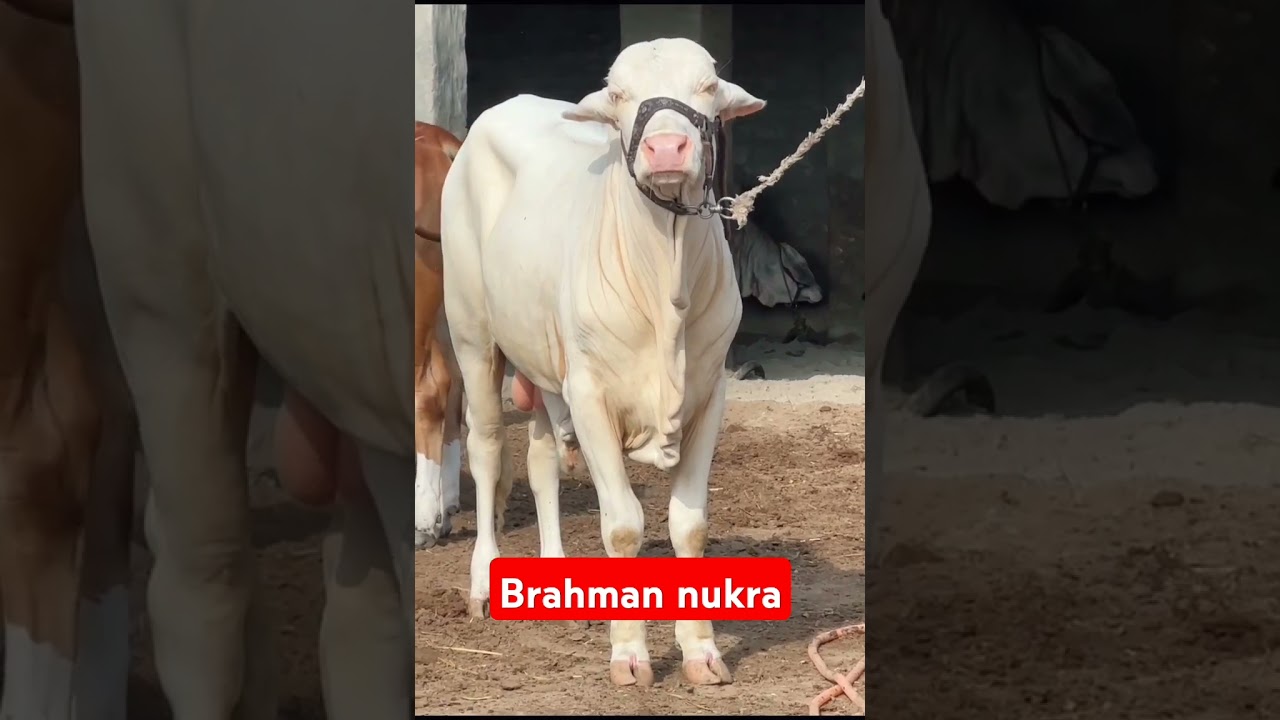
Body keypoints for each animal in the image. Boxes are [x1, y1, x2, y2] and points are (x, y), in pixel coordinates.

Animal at [439, 37, 766, 687]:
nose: (666, 148)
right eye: (618, 93)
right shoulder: (590, 396)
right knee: (487, 449)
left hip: (544, 361)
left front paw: (701, 651)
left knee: (541, 461)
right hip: (473, 334)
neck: (664, 281)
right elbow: (622, 524)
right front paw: (630, 656)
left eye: (707, 86)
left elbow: (689, 524)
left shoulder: (709, 392)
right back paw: (484, 578)